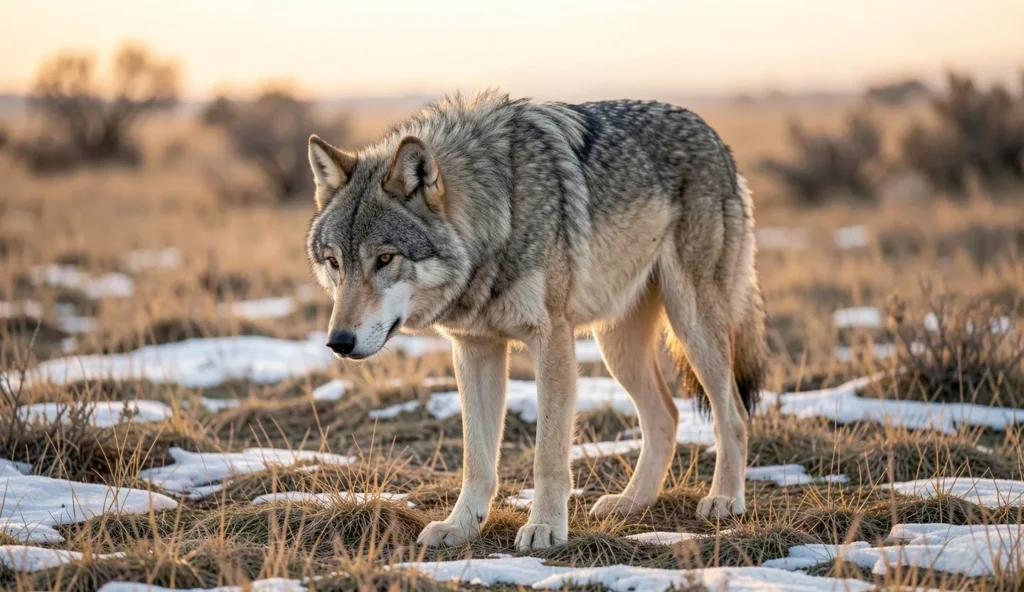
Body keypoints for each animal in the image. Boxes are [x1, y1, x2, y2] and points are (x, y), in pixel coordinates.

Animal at [305, 90, 767, 551]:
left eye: (385, 259)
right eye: (334, 263)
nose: (338, 342)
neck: (500, 214)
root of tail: (712, 134)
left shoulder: (552, 340)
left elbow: (548, 453)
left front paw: (545, 527)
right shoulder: (475, 349)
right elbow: (477, 457)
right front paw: (460, 526)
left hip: (692, 324)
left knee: (733, 414)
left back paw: (725, 499)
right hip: (617, 347)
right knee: (667, 416)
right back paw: (631, 502)